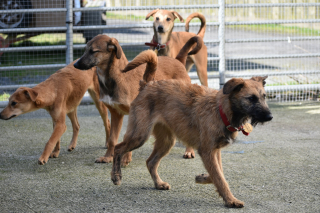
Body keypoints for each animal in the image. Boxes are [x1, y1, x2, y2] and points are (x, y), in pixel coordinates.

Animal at [72, 34, 202, 165]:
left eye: (93, 51)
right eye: (85, 49)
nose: (75, 65)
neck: (116, 77)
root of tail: (178, 61)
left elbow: (127, 136)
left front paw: (125, 159)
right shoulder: (116, 113)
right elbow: (112, 139)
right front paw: (108, 157)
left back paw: (189, 151)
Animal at [112, 75, 272, 207]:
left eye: (264, 97)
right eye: (251, 98)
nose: (270, 117)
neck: (221, 110)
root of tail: (146, 85)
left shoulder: (215, 151)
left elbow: (218, 174)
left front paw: (203, 178)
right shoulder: (207, 151)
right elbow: (220, 178)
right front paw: (231, 200)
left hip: (166, 142)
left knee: (150, 162)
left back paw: (158, 183)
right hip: (139, 136)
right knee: (118, 148)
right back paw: (116, 176)